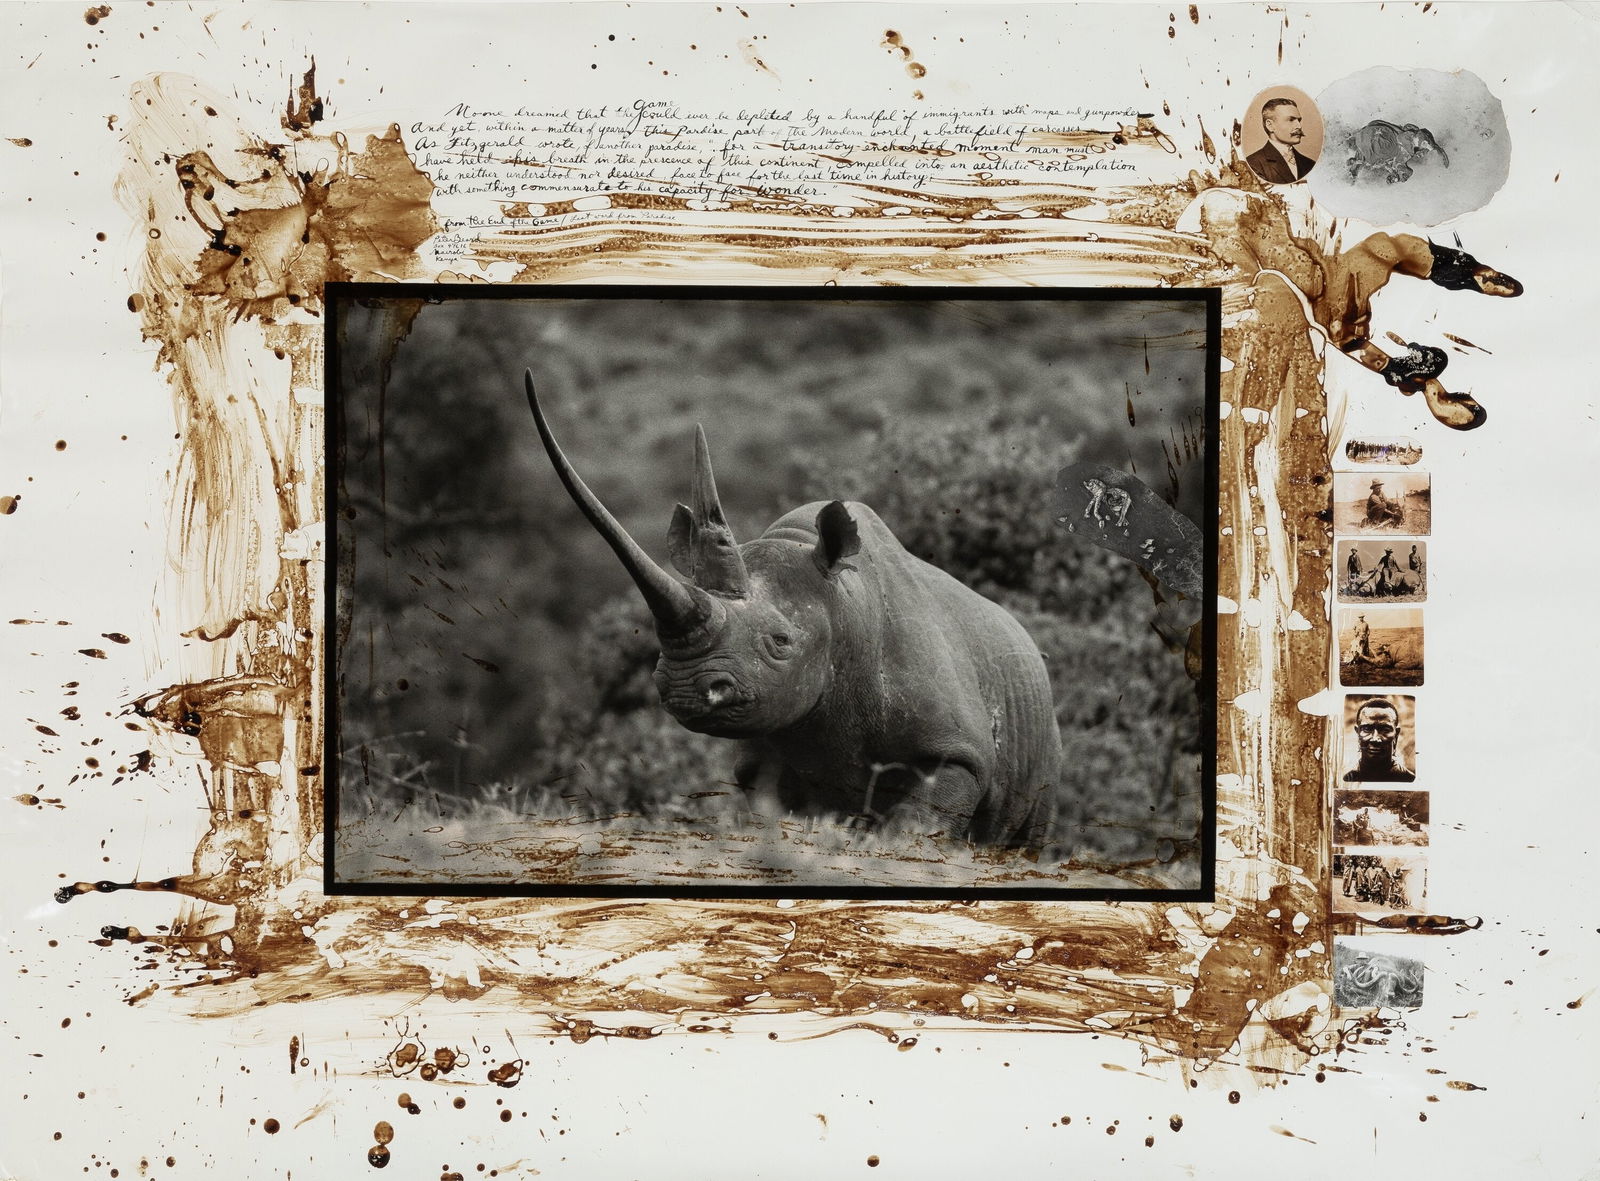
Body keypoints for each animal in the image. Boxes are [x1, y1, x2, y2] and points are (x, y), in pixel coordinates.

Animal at [524, 373, 1062, 848]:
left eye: (780, 642)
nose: (683, 688)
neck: (843, 605)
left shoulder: (956, 755)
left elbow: (915, 831)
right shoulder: (763, 761)